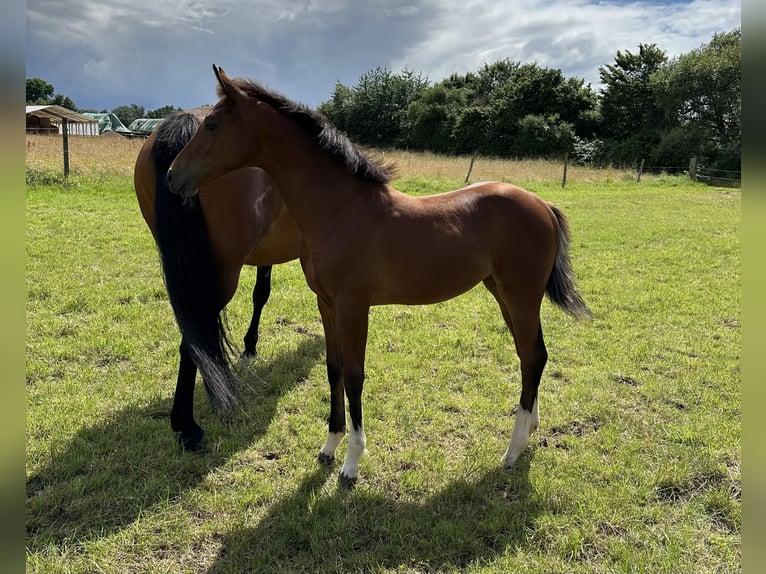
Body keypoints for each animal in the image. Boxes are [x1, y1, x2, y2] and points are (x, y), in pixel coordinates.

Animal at [165, 66, 592, 486]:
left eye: (213, 125)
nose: (172, 176)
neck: (340, 211)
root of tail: (543, 205)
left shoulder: (354, 307)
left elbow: (355, 375)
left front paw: (352, 462)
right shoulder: (327, 305)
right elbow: (334, 369)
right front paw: (329, 445)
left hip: (521, 296)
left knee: (533, 356)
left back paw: (513, 451)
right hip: (503, 293)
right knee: (529, 356)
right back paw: (530, 429)